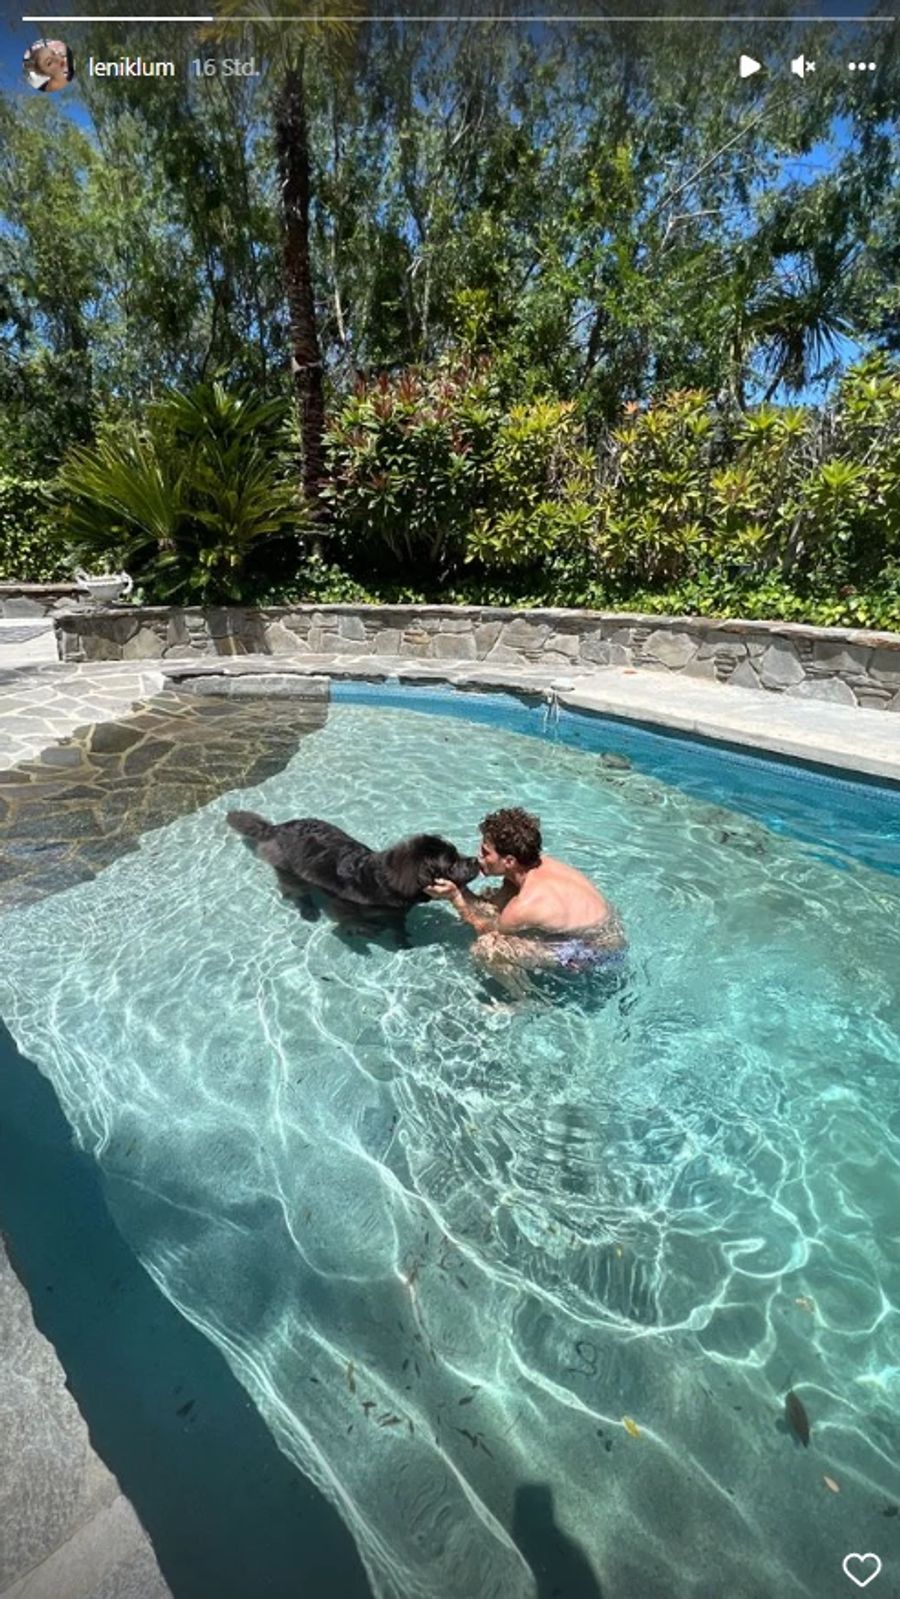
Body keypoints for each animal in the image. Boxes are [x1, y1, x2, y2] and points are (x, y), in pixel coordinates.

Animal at [226, 812, 479, 933]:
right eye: (452, 863)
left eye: (458, 854)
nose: (475, 860)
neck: (384, 881)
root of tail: (276, 828)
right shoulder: (343, 903)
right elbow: (351, 919)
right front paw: (365, 930)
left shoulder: (396, 912)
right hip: (287, 867)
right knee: (297, 890)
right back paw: (309, 911)